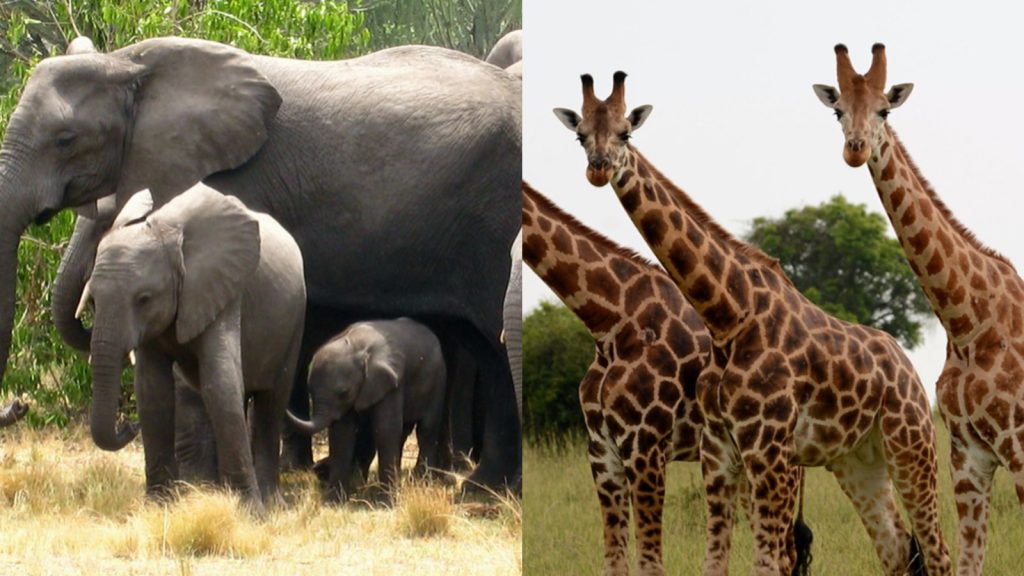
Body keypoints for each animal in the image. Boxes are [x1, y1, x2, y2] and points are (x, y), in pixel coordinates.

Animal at [78, 184, 306, 512]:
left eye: (144, 299)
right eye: (92, 298)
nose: (129, 427)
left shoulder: (223, 288)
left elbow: (219, 384)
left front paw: (251, 513)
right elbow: (152, 390)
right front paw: (157, 506)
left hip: (294, 320)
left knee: (270, 401)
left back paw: (271, 503)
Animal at [288, 318, 447, 503]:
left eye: (344, 392)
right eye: (310, 391)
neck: (356, 346)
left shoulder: (391, 383)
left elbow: (385, 429)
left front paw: (386, 503)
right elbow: (342, 434)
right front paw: (333, 501)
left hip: (438, 379)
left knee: (427, 429)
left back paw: (422, 482)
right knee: (403, 433)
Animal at [553, 73, 951, 576]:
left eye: (626, 133)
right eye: (581, 135)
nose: (599, 168)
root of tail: (908, 365)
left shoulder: (729, 447)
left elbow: (754, 561)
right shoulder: (705, 452)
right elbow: (705, 562)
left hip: (909, 444)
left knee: (931, 549)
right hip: (857, 456)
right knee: (897, 547)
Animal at [814, 43, 1024, 576]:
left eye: (885, 110)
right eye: (838, 110)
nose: (855, 149)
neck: (966, 321)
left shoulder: (1019, 445)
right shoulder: (968, 457)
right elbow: (968, 562)